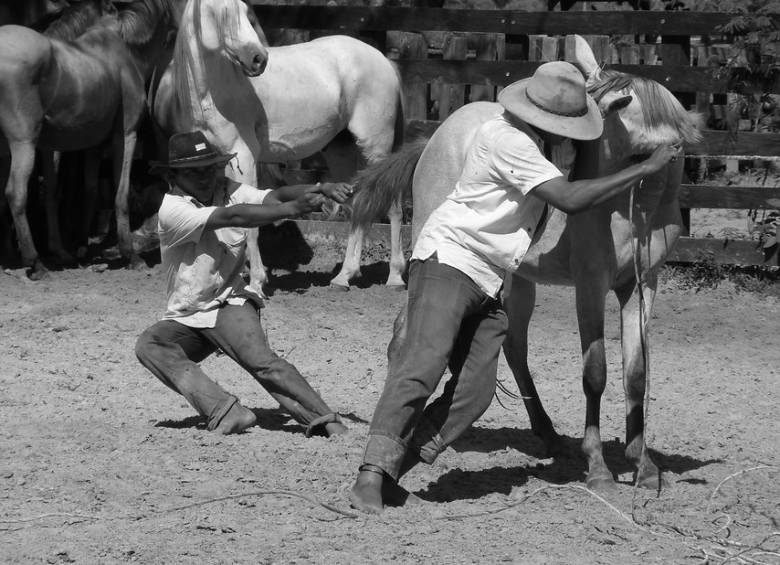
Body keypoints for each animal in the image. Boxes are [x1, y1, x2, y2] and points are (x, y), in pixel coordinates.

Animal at [0, 0, 181, 278]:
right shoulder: (126, 135)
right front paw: (131, 255)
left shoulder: (88, 147)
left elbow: (85, 192)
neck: (125, 49)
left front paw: (79, 250)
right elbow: (120, 194)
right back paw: (35, 262)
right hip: (22, 145)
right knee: (15, 193)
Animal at [154, 0, 408, 290]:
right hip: (341, 151)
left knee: (394, 208)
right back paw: (344, 275)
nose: (258, 58)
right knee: (357, 203)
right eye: (221, 12)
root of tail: (382, 59)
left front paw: (256, 281)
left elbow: (250, 224)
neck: (216, 92)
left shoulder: (244, 157)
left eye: (245, 12)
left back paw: (395, 276)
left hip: (376, 149)